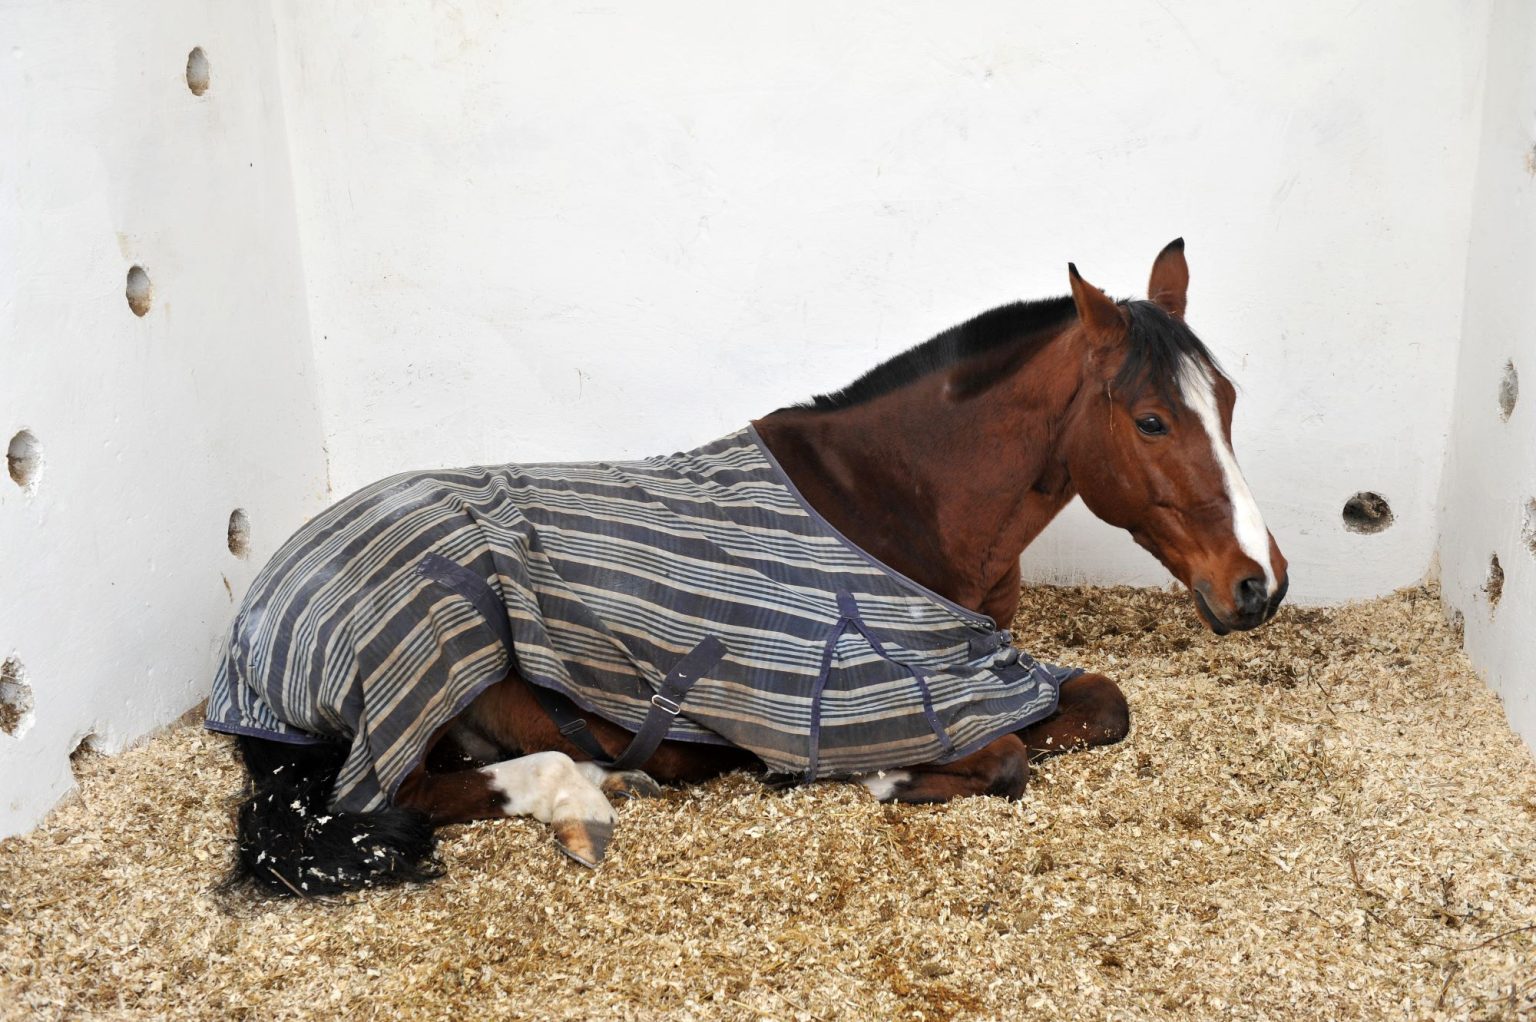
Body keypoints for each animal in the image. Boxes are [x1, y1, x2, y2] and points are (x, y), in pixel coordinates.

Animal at [213, 239, 1288, 896]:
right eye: (1150, 421)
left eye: (1232, 399)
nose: (1258, 583)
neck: (892, 500)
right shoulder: (879, 697)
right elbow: (1004, 759)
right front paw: (890, 778)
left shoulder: (994, 664)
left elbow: (1105, 706)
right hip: (434, 662)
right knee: (392, 796)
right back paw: (588, 787)